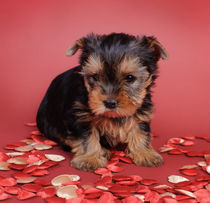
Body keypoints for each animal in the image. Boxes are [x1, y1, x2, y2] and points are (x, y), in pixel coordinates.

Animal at [36, 32, 167, 171]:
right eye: (95, 77)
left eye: (130, 78)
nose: (110, 103)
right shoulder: (80, 115)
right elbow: (86, 136)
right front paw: (90, 158)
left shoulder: (141, 109)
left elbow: (140, 129)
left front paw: (144, 153)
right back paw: (102, 150)